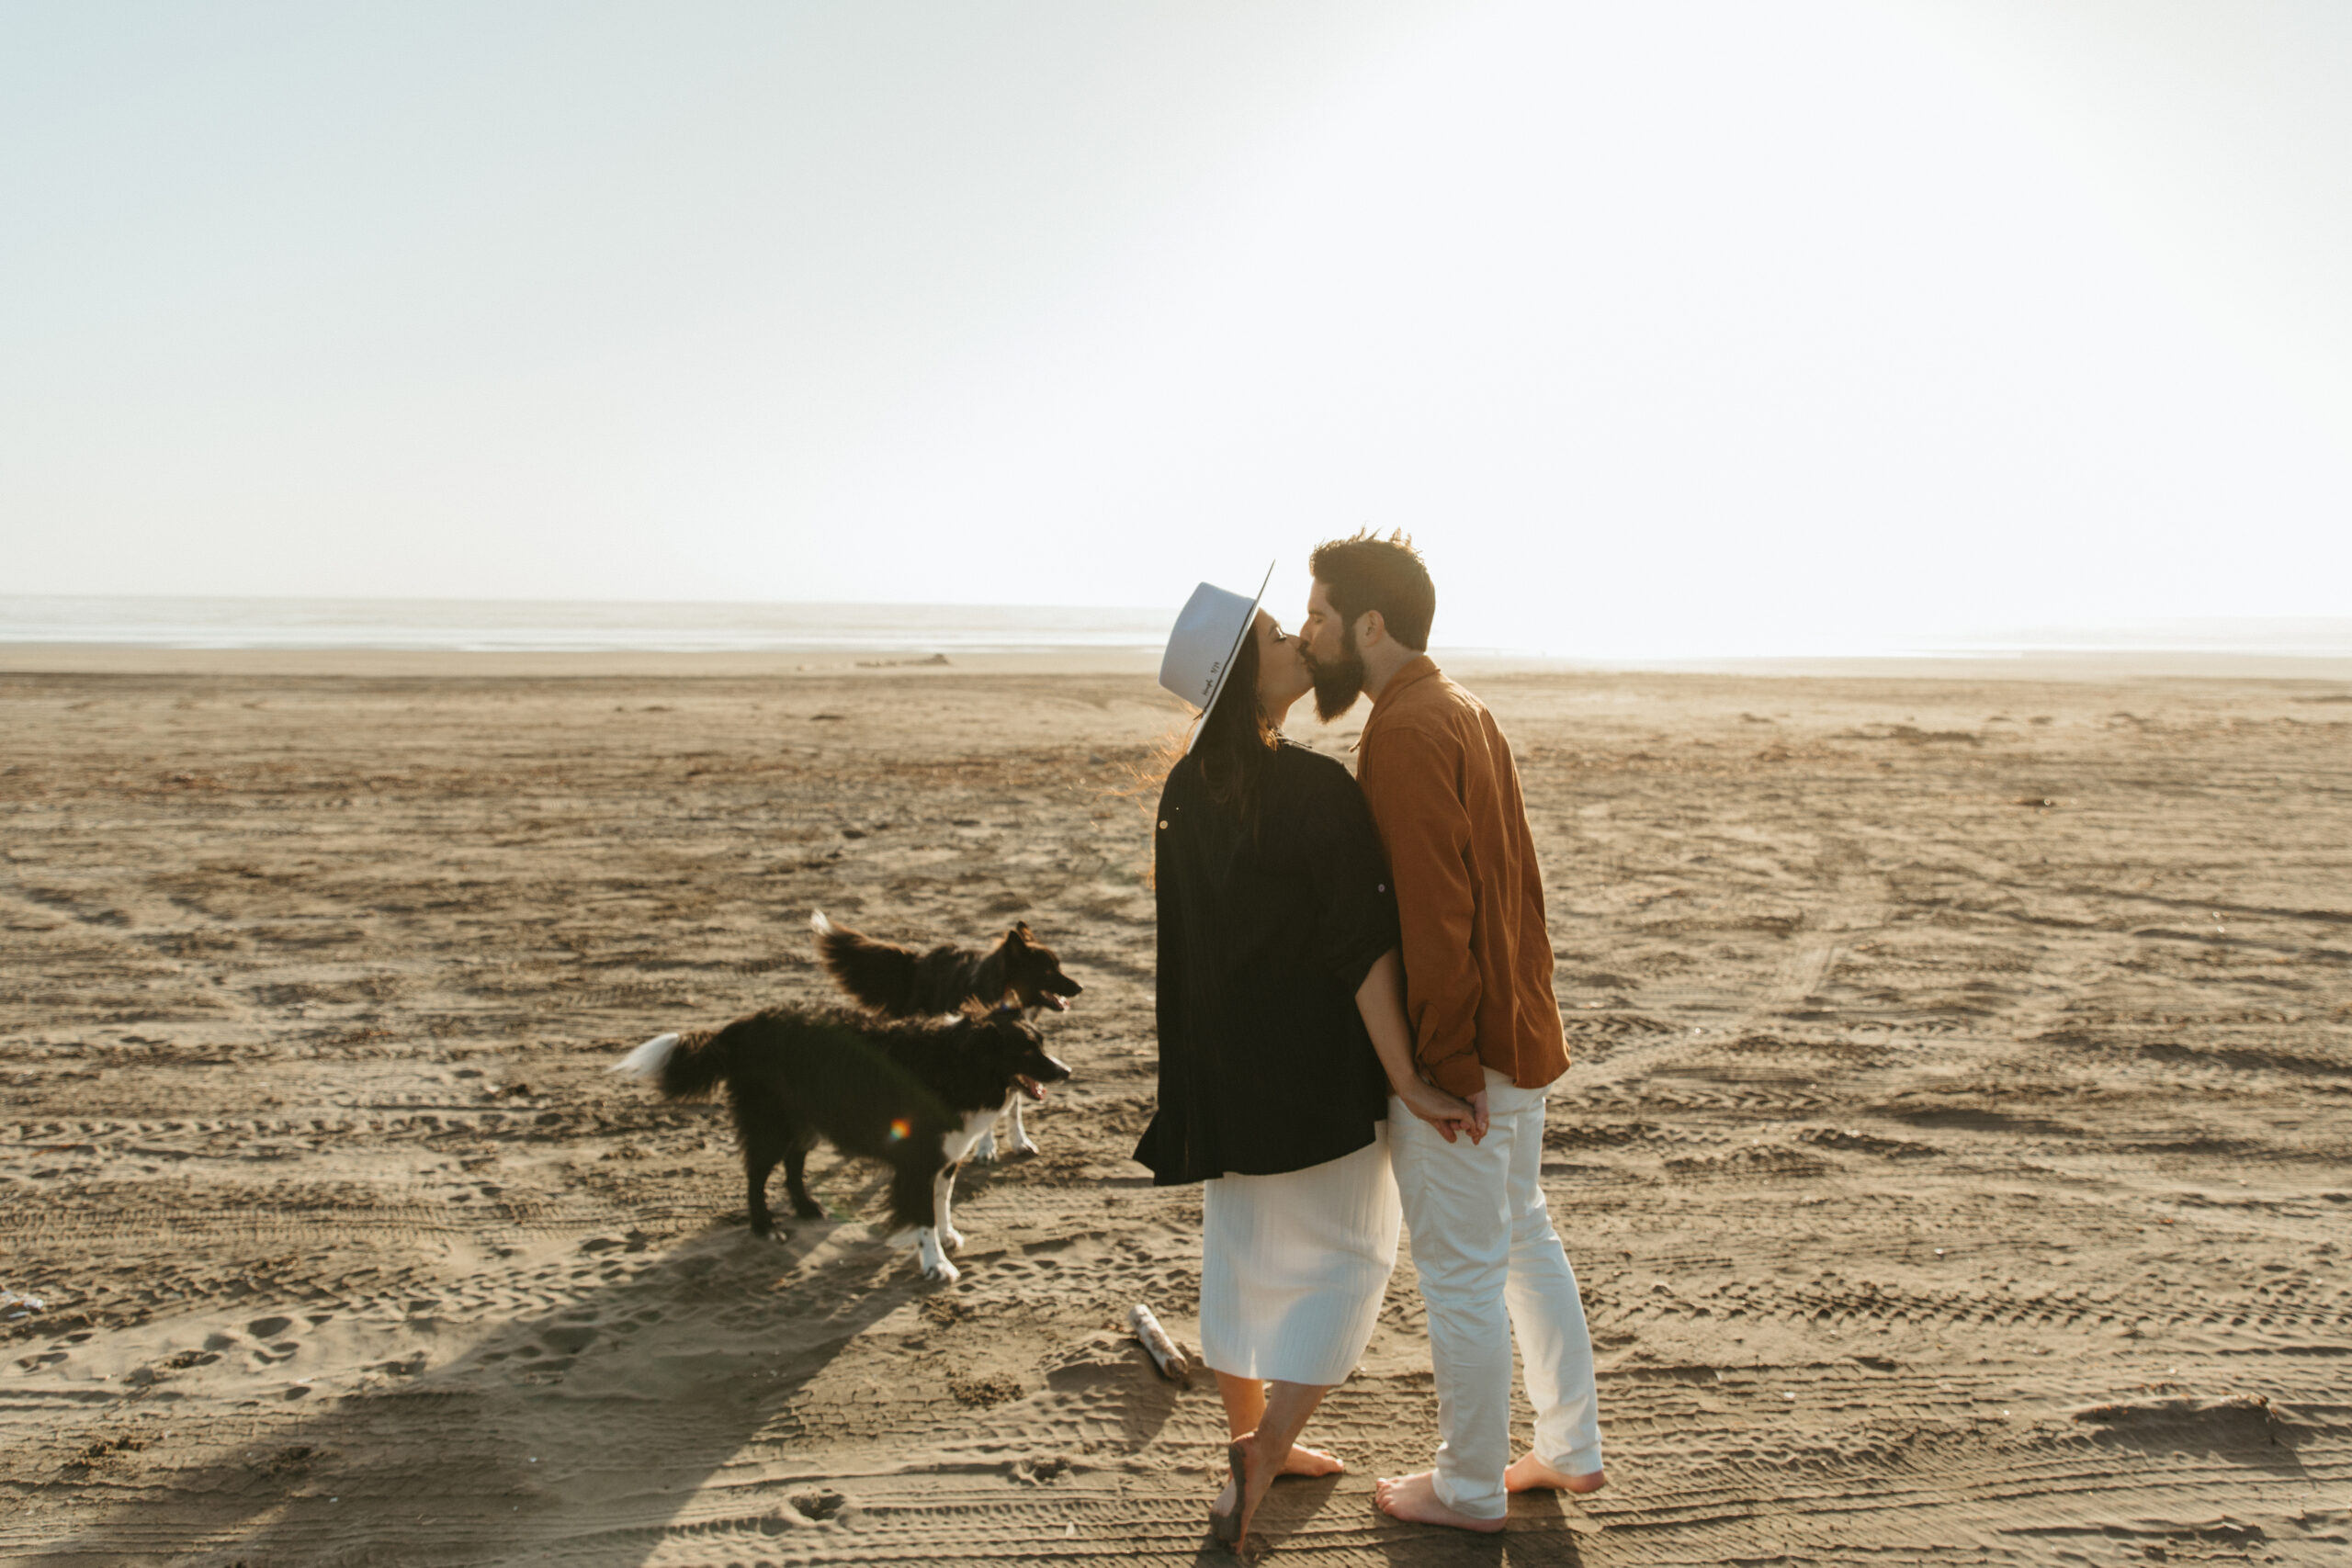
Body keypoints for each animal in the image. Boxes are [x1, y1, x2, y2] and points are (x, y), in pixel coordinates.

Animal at [616, 1006, 1077, 1288]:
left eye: (1041, 1043)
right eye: (1026, 1049)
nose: (1066, 1072)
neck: (956, 1063)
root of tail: (742, 1025)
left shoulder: (947, 1151)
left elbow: (941, 1199)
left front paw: (947, 1236)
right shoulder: (918, 1159)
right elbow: (922, 1214)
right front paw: (936, 1265)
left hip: (807, 1120)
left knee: (793, 1164)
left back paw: (806, 1207)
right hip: (771, 1124)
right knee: (756, 1175)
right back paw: (766, 1227)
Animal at [808, 907, 1081, 1166]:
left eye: (1058, 966)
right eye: (1048, 971)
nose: (1080, 987)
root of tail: (917, 960)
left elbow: (1014, 1105)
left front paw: (1020, 1142)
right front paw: (986, 1148)